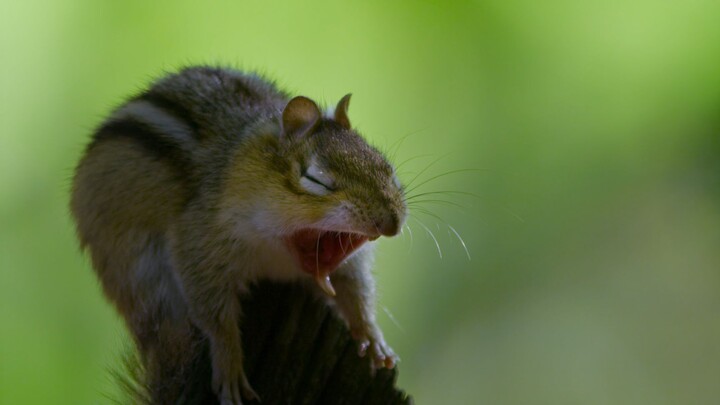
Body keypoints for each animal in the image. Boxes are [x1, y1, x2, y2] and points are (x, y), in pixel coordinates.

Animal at [70, 66, 407, 405]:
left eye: (387, 168)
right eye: (317, 180)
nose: (391, 223)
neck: (274, 250)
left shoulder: (346, 262)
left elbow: (356, 290)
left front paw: (372, 337)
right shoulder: (199, 241)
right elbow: (216, 318)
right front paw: (229, 366)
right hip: (142, 280)